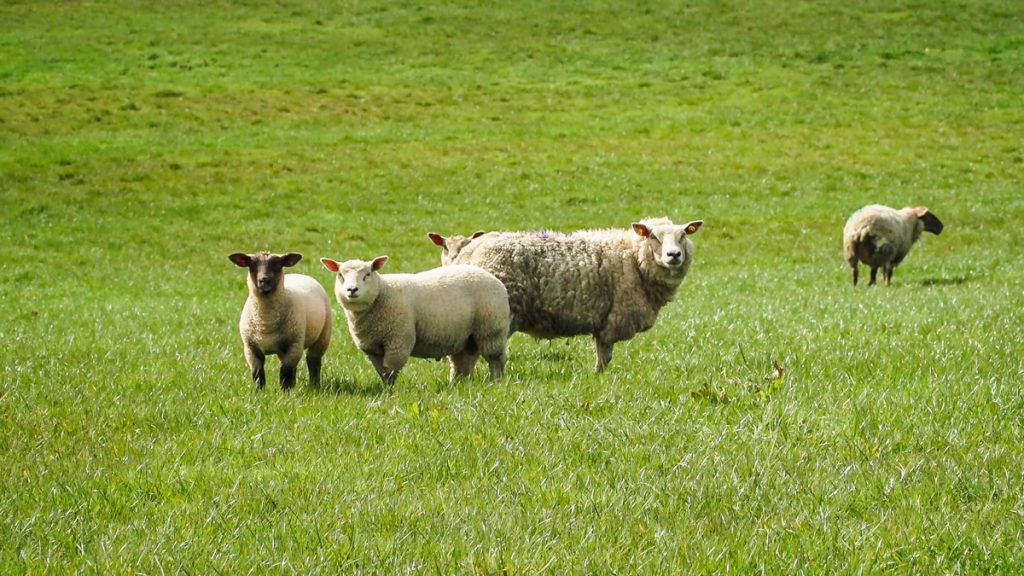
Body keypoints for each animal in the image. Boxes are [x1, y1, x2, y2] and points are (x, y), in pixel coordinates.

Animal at [228, 251, 332, 390]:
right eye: (252, 265)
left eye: (278, 265)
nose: (264, 280)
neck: (266, 322)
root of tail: (298, 274)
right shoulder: (250, 349)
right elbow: (258, 374)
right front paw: (259, 392)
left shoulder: (294, 344)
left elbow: (285, 372)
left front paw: (285, 392)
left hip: (322, 336)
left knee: (313, 361)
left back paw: (314, 386)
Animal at [320, 255, 510, 386]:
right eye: (340, 275)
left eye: (367, 274)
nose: (352, 290)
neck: (383, 294)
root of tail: (495, 279)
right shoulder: (372, 348)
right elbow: (382, 372)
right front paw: (385, 389)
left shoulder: (398, 342)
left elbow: (390, 371)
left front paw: (390, 392)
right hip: (466, 337)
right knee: (463, 363)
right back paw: (456, 385)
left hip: (492, 330)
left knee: (496, 359)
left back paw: (496, 382)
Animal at [436, 217, 704, 372]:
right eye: (653, 236)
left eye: (683, 235)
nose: (674, 255)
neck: (633, 258)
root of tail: (467, 253)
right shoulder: (613, 320)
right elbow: (604, 357)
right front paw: (600, 377)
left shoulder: (604, 322)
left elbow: (603, 355)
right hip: (490, 316)